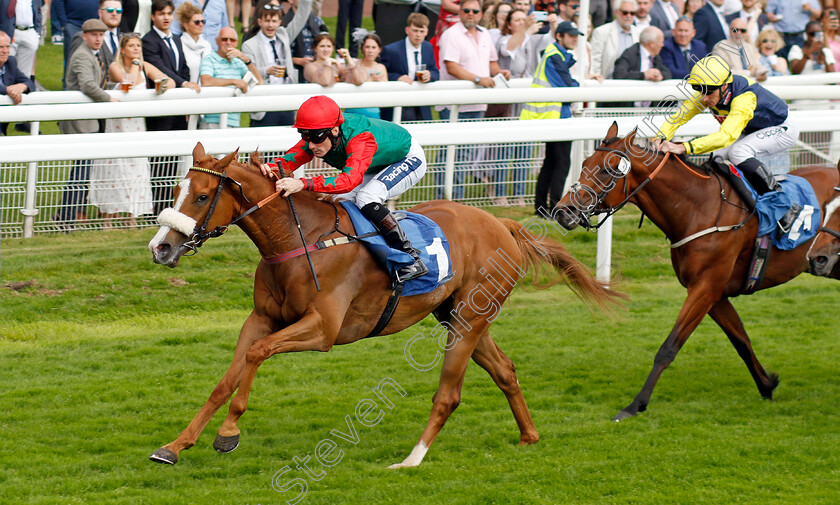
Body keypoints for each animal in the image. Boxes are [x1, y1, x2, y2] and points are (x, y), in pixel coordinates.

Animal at [144, 142, 620, 464]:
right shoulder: (260, 319)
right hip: (456, 315)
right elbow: (228, 377)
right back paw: (528, 436)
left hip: (470, 317)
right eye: (178, 190)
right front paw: (176, 444)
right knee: (504, 369)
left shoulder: (323, 329)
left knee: (455, 390)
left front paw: (228, 432)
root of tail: (501, 224)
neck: (298, 239)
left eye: (202, 197)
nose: (160, 247)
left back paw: (415, 457)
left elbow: (257, 356)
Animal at [556, 123, 836, 422]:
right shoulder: (715, 294)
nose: (562, 211)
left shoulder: (705, 288)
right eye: (584, 165)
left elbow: (668, 347)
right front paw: (767, 385)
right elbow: (741, 340)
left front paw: (634, 405)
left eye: (608, 170)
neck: (698, 207)